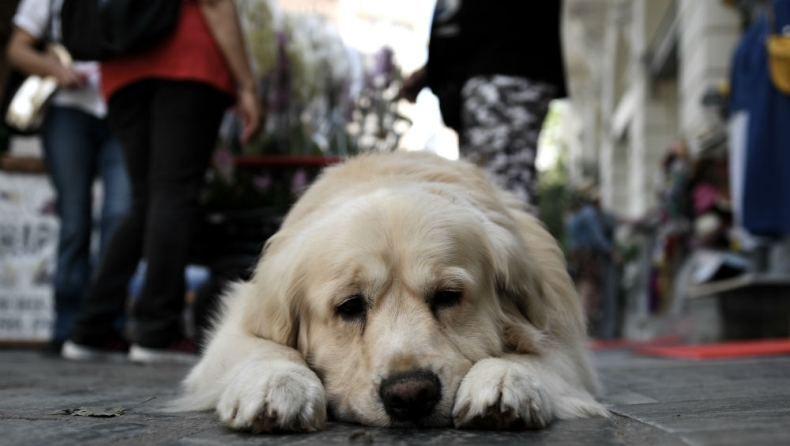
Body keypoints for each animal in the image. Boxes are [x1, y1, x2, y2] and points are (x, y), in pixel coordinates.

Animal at [176, 151, 608, 432]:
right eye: (350, 306)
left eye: (448, 297)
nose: (411, 395)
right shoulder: (239, 322)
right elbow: (266, 347)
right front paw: (277, 384)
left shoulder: (562, 336)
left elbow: (535, 355)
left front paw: (505, 379)